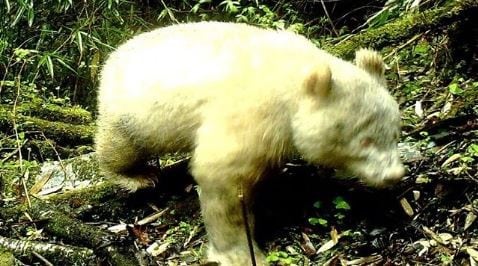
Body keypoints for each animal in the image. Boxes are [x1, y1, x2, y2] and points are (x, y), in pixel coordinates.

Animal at [95, 21, 406, 264]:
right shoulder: (253, 112)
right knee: (120, 146)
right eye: (365, 141)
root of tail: (112, 58)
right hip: (132, 111)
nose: (394, 175)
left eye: (395, 133)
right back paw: (137, 176)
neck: (294, 77)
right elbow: (221, 175)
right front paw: (240, 253)